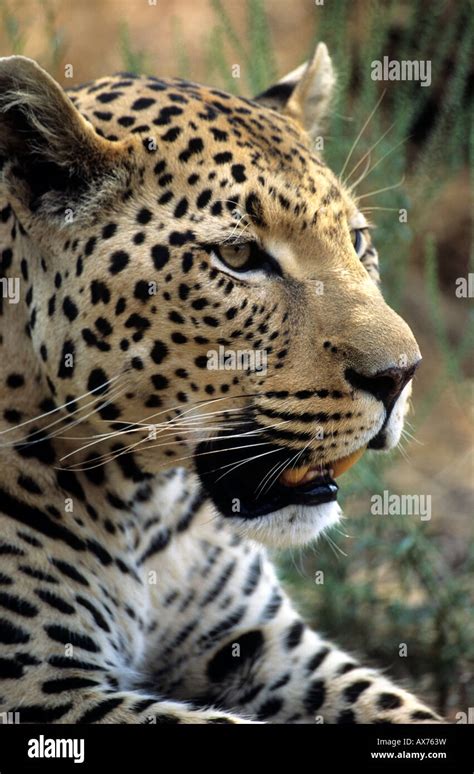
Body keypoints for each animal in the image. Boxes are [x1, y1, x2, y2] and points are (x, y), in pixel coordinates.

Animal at [0, 45, 442, 724]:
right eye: (237, 258)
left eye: (358, 240)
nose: (400, 375)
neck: (145, 508)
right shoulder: (44, 687)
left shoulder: (262, 641)